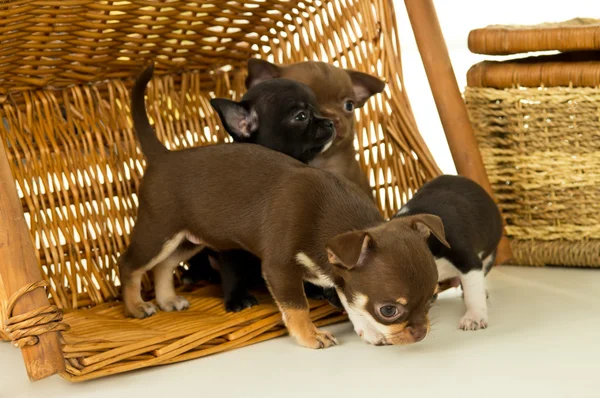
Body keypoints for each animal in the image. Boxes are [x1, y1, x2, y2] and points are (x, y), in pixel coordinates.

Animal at [180, 79, 338, 312]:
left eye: (317, 109)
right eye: (301, 116)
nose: (331, 122)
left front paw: (313, 288)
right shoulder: (229, 243)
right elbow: (232, 270)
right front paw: (237, 298)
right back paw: (194, 275)